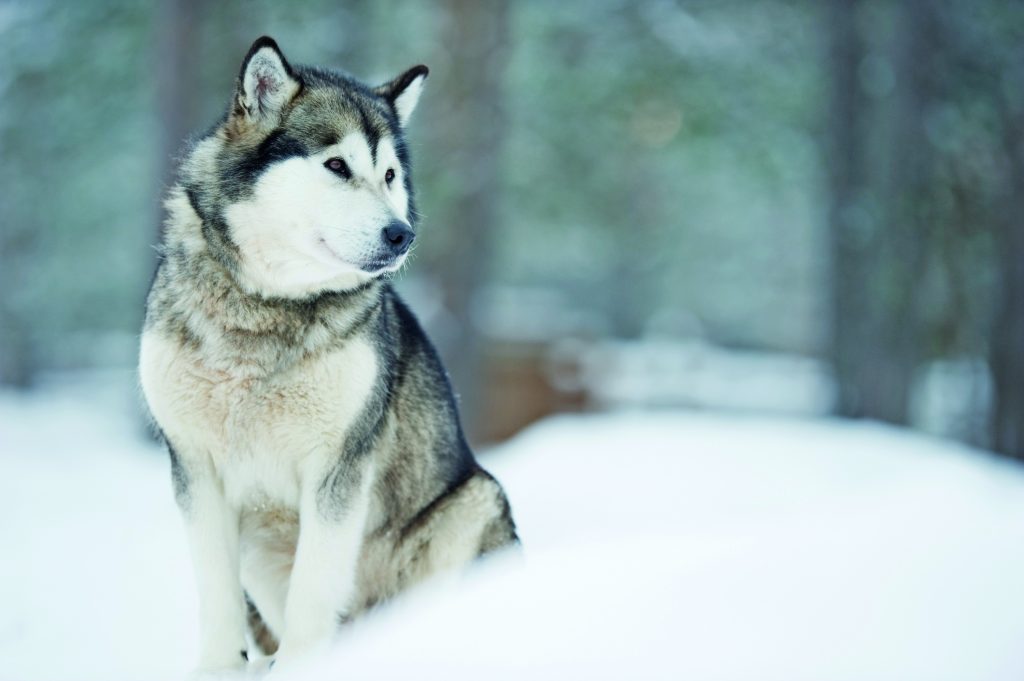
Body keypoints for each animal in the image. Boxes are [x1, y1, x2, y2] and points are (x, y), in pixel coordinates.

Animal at [136, 35, 516, 667]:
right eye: (337, 165)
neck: (266, 311)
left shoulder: (338, 469)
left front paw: (299, 667)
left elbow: (313, 592)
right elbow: (217, 595)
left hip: (473, 502)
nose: (402, 235)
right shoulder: (194, 468)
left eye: (389, 175)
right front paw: (221, 668)